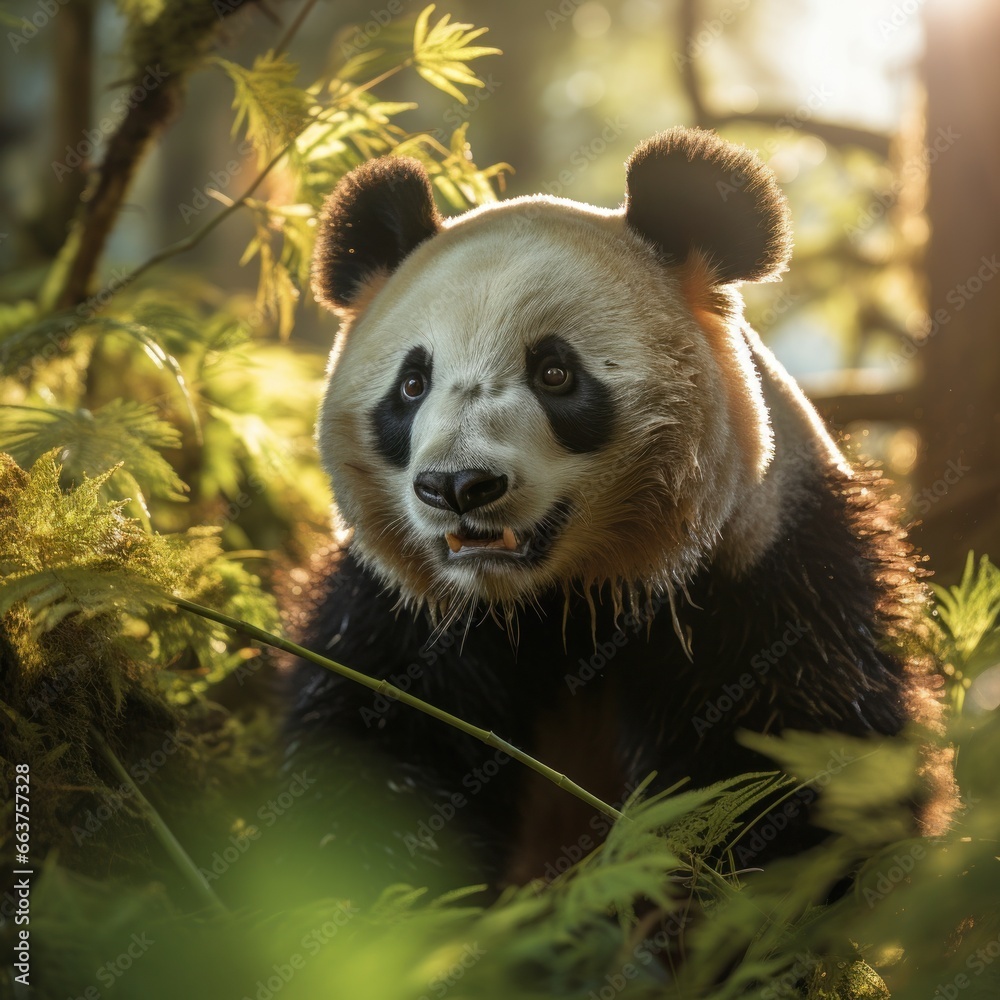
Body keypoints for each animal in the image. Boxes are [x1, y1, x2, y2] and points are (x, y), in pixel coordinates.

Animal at [288, 129, 952, 896]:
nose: (457, 486)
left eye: (555, 373)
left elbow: (789, 782)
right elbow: (370, 769)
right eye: (412, 383)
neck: (555, 605)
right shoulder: (398, 617)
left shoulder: (769, 580)